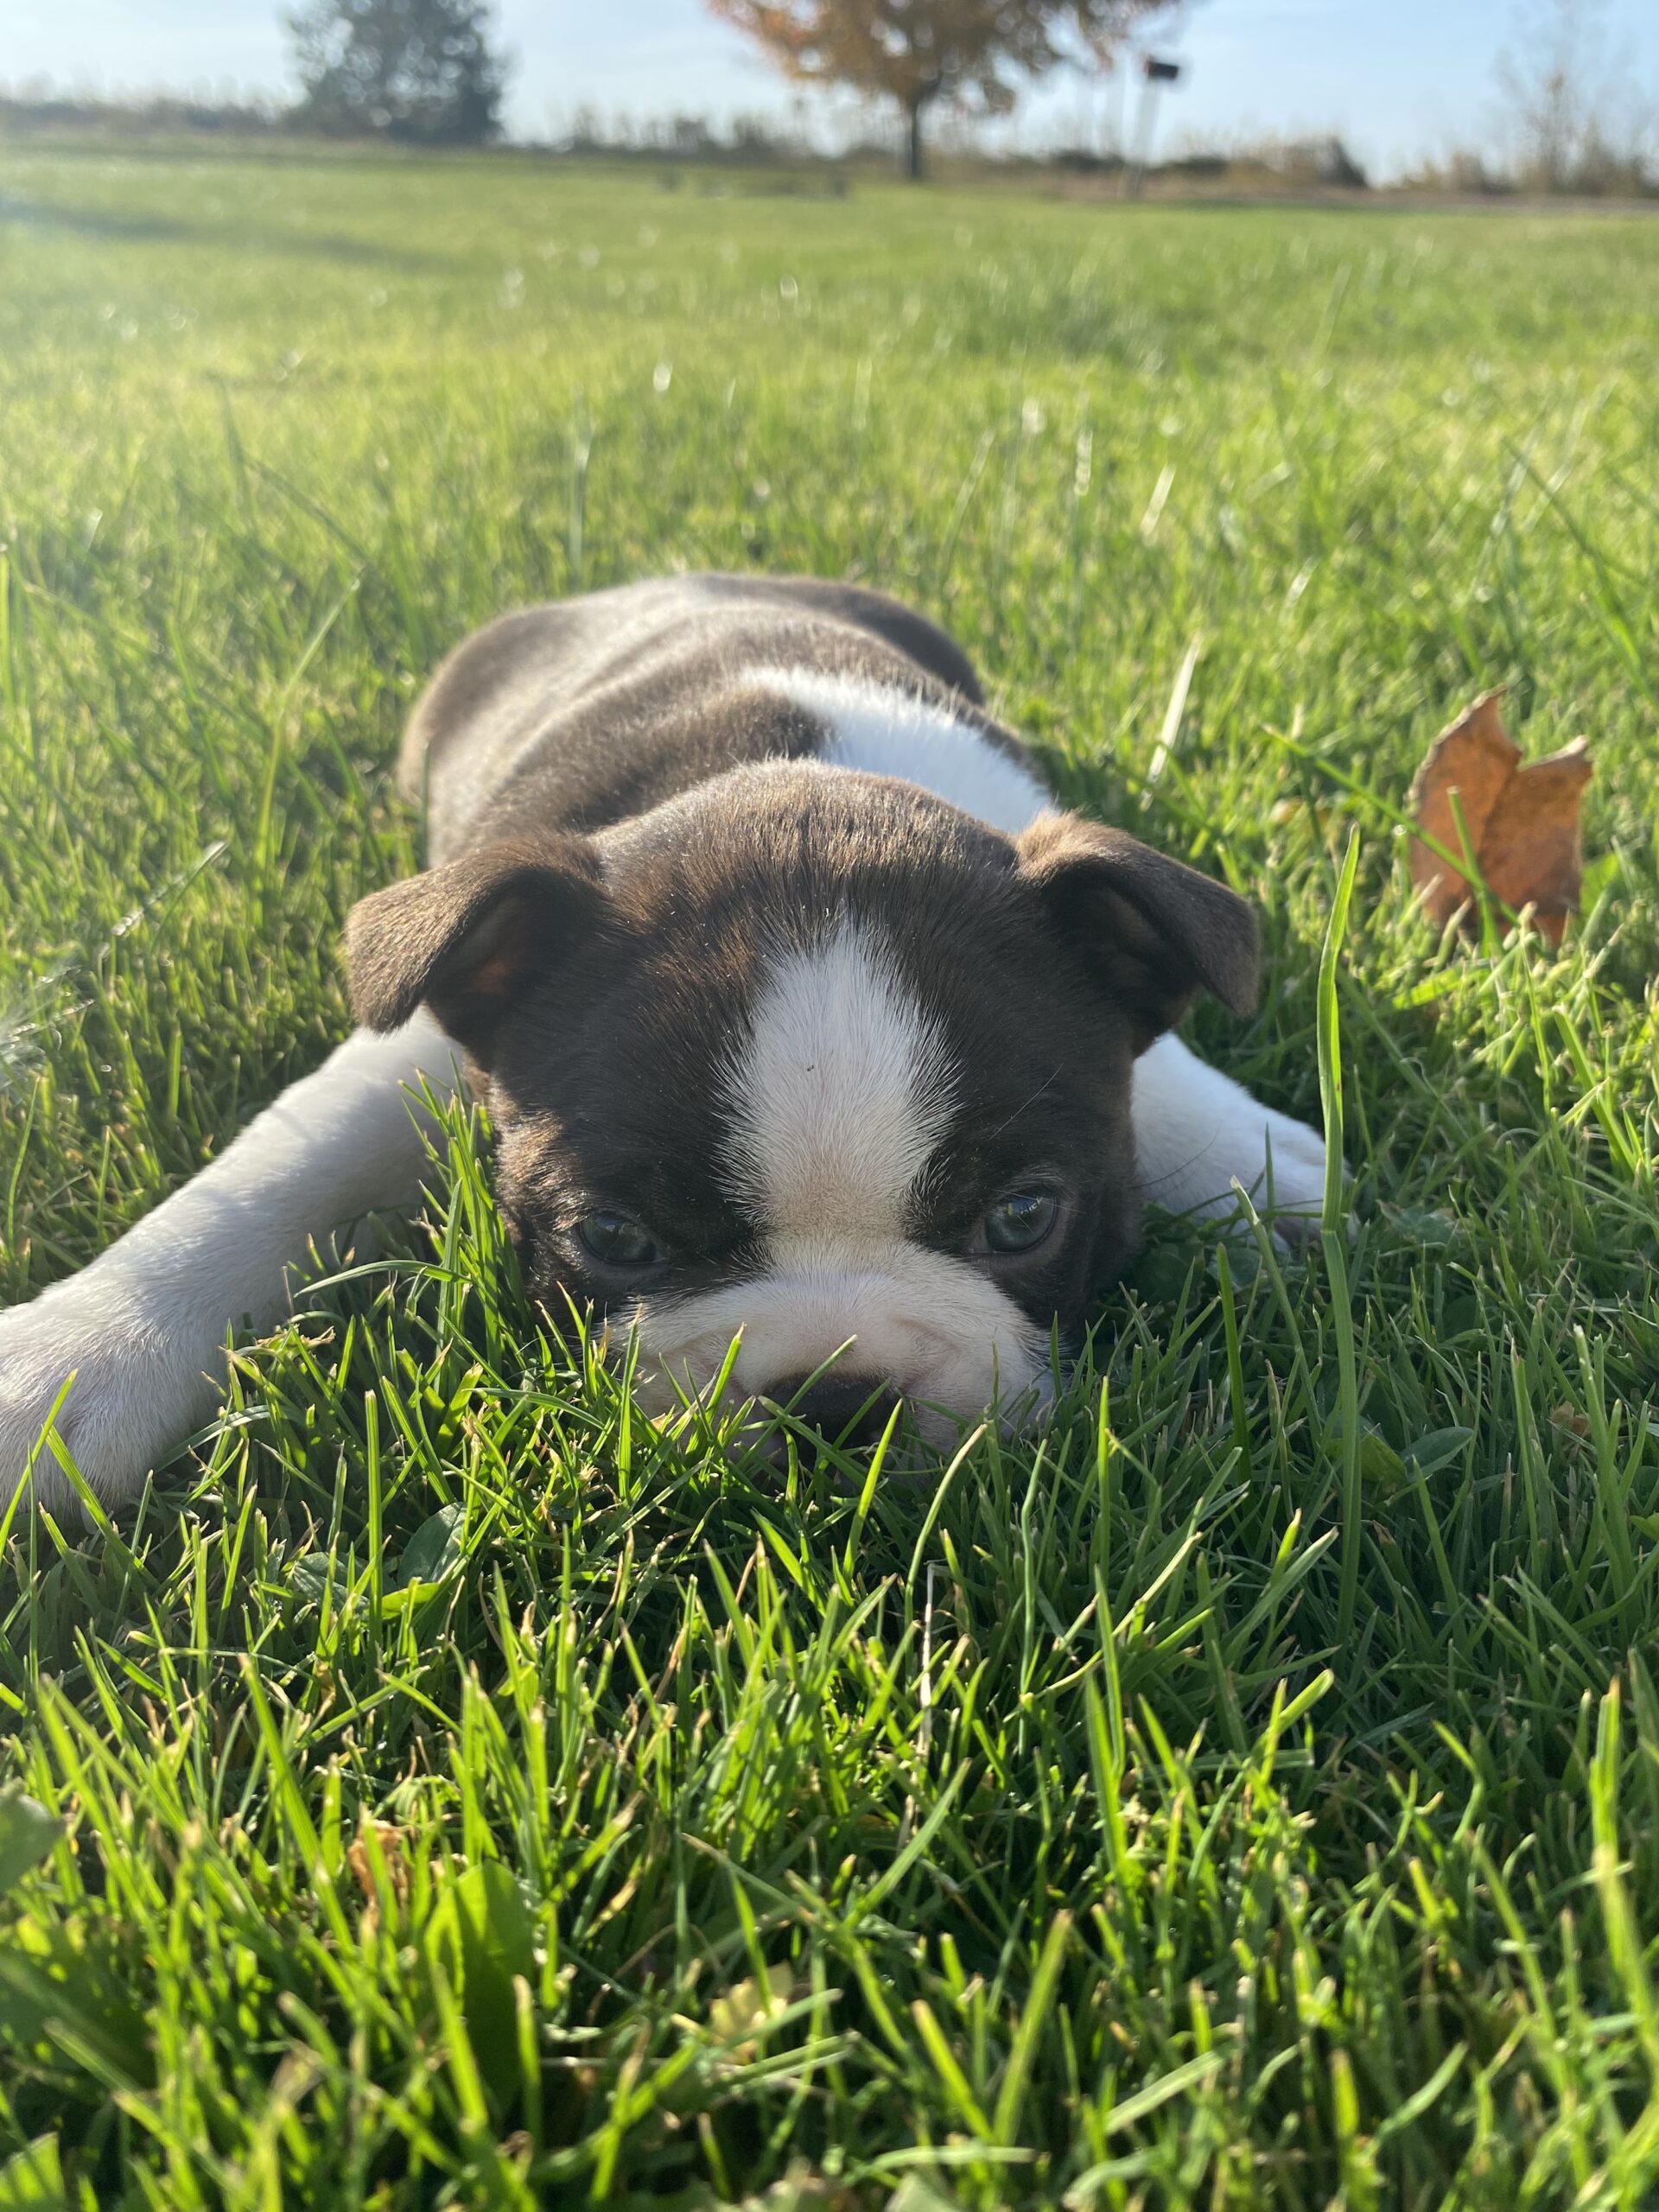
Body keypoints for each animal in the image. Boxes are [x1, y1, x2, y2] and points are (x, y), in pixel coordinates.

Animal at [0, 570, 1327, 1513]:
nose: (834, 1392)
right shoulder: (414, 1045)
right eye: (614, 1241)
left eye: (1023, 1220)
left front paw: (1257, 1163)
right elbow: (265, 1182)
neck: (784, 778)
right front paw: (67, 1372)